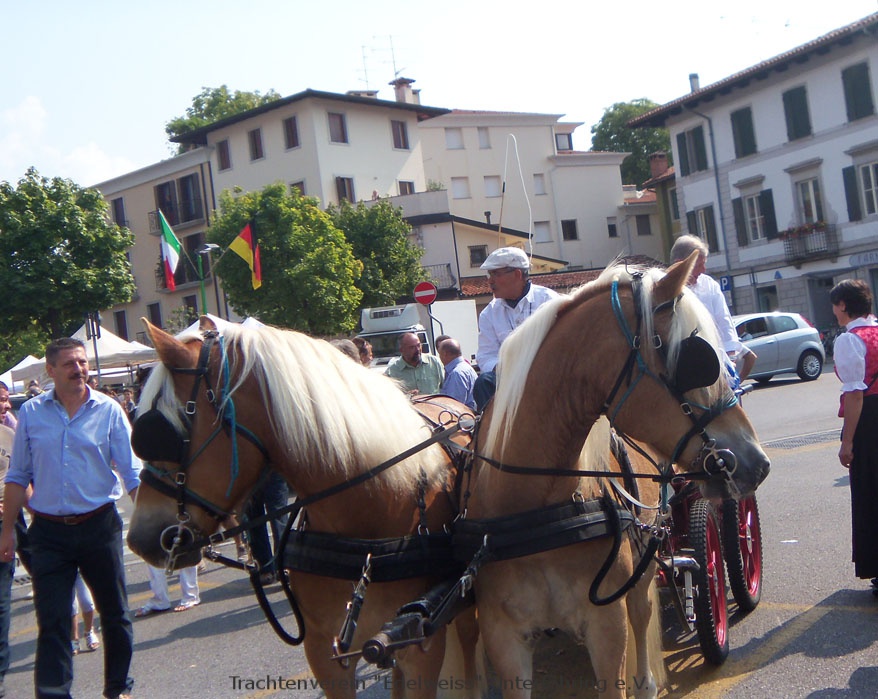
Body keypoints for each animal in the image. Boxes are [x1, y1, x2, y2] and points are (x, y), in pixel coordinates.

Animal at [458, 252, 770, 699]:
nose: (755, 459)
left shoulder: (607, 626)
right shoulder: (504, 637)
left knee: (646, 610)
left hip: (647, 551)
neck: (539, 512)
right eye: (693, 361)